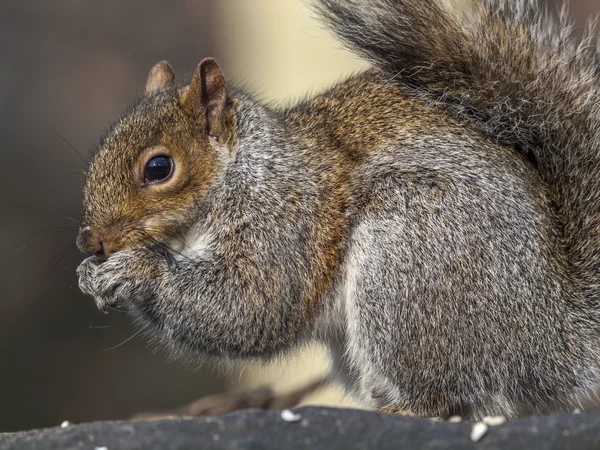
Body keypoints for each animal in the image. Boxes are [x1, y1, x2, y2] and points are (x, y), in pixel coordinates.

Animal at [75, 0, 600, 420]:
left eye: (159, 167)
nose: (90, 240)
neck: (242, 173)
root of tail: (554, 339)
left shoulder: (286, 222)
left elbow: (250, 307)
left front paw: (137, 269)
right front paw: (89, 274)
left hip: (412, 258)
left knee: (448, 398)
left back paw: (405, 408)